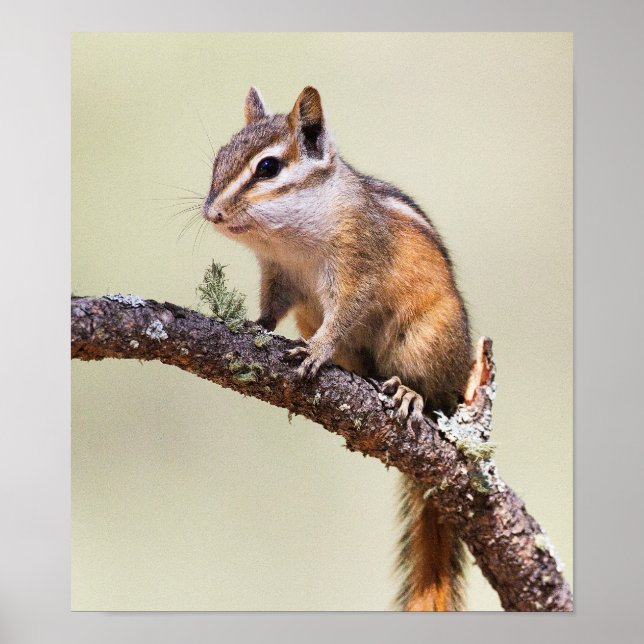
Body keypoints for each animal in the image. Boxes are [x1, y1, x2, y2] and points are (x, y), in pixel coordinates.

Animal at [202, 86, 473, 611]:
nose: (211, 214)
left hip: (428, 341)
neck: (289, 239)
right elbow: (272, 307)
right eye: (219, 157)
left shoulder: (356, 266)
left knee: (433, 398)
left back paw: (410, 394)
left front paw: (315, 351)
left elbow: (344, 314)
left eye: (268, 168)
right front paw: (254, 326)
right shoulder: (279, 275)